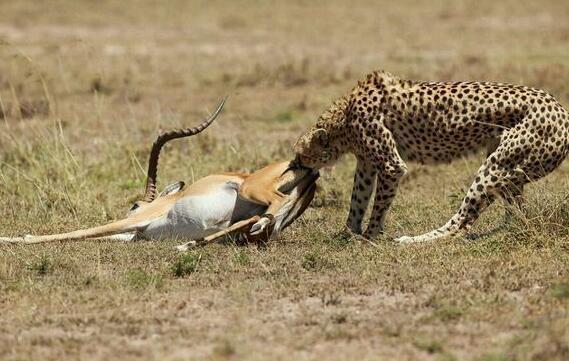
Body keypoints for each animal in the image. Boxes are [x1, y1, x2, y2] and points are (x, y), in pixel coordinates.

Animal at [292, 69, 568, 242]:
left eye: (300, 156)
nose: (294, 165)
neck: (344, 117)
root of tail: (559, 107)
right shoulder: (366, 163)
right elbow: (357, 199)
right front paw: (349, 232)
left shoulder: (391, 165)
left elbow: (378, 203)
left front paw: (369, 236)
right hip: (511, 169)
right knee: (517, 214)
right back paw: (505, 231)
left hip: (495, 167)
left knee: (461, 224)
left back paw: (412, 240)